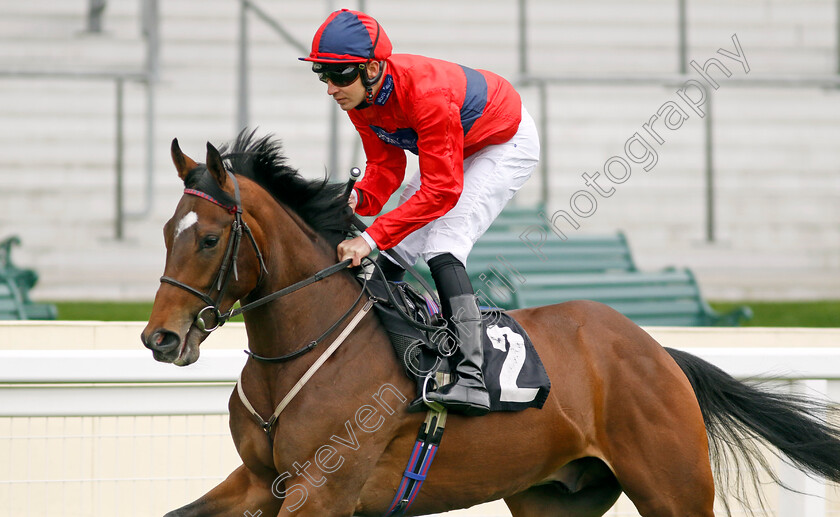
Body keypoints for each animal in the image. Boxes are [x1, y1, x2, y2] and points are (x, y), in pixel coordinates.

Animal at [144, 131, 840, 512]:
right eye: (166, 232)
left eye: (209, 239)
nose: (160, 338)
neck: (300, 352)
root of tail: (660, 352)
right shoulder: (261, 482)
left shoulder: (322, 490)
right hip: (553, 498)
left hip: (676, 488)